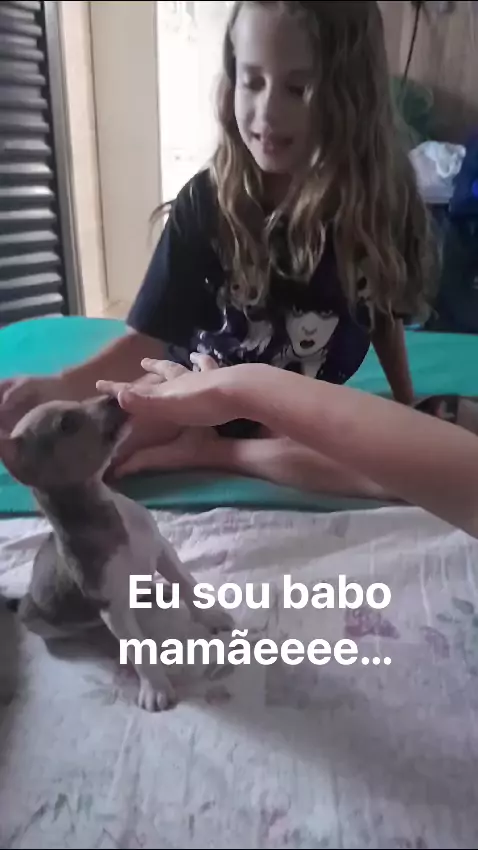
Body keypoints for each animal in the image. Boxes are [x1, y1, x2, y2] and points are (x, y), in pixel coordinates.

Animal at [0, 394, 233, 711]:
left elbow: (186, 583)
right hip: (42, 619)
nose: (112, 397)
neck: (104, 507)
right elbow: (140, 649)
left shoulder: (161, 549)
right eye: (67, 424)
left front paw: (209, 615)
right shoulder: (112, 606)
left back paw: (156, 592)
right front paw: (155, 687)